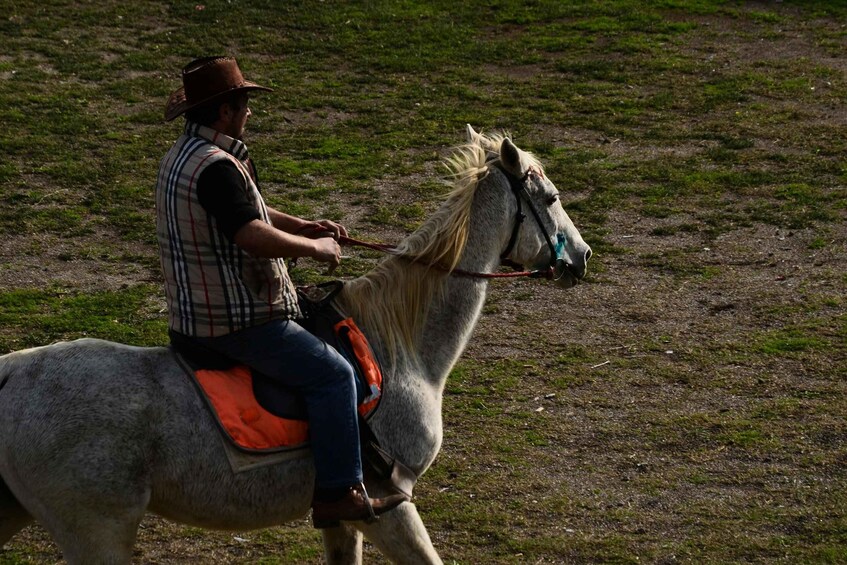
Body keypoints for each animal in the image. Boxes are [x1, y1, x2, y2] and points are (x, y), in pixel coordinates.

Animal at [0, 126, 591, 564]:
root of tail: (10, 374)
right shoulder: (389, 504)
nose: (582, 257)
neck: (401, 352)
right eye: (551, 198)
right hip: (97, 533)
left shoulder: (344, 516)